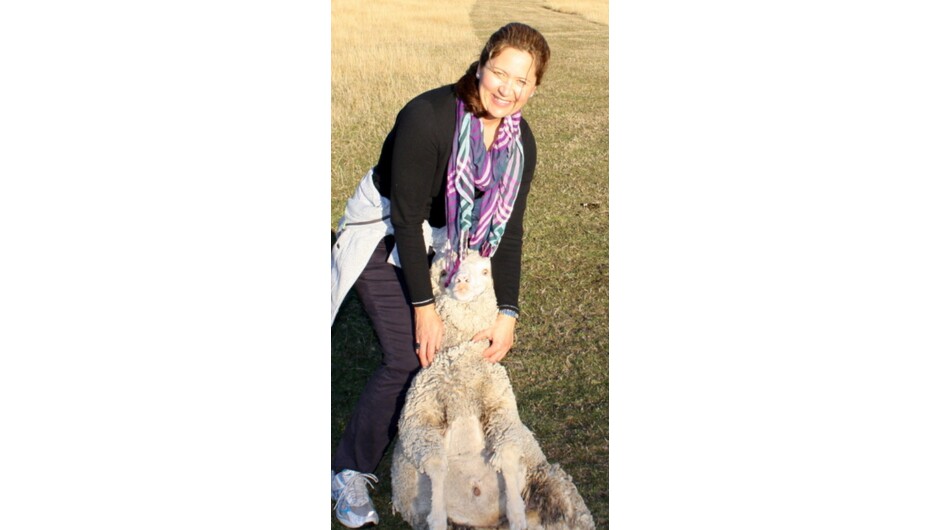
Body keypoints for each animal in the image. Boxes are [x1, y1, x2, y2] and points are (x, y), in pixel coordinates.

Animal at [390, 249, 596, 528]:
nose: (461, 281)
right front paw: (437, 516)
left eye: (485, 271)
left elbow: (507, 456)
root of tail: (489, 524)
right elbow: (436, 465)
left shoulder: (500, 405)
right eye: (444, 271)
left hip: (553, 484)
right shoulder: (418, 416)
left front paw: (517, 513)